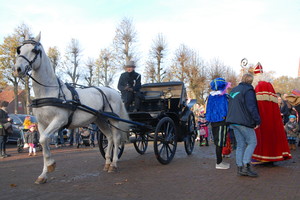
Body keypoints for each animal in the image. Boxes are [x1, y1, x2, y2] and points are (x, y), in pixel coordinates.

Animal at [13, 32, 129, 184]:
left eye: (34, 50)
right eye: (19, 50)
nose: (18, 69)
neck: (49, 92)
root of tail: (114, 92)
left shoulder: (59, 120)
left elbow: (43, 140)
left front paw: (51, 165)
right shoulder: (42, 124)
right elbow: (43, 142)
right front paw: (44, 173)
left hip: (113, 120)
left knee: (116, 139)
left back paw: (114, 164)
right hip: (100, 120)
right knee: (109, 138)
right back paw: (107, 163)